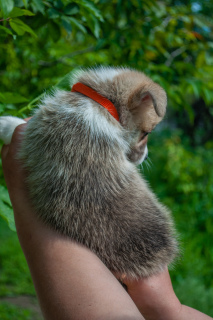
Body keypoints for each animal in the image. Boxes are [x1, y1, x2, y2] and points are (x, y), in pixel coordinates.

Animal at [0, 68, 178, 280]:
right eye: (146, 134)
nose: (145, 156)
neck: (102, 102)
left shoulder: (33, 133)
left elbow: (18, 129)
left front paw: (5, 123)